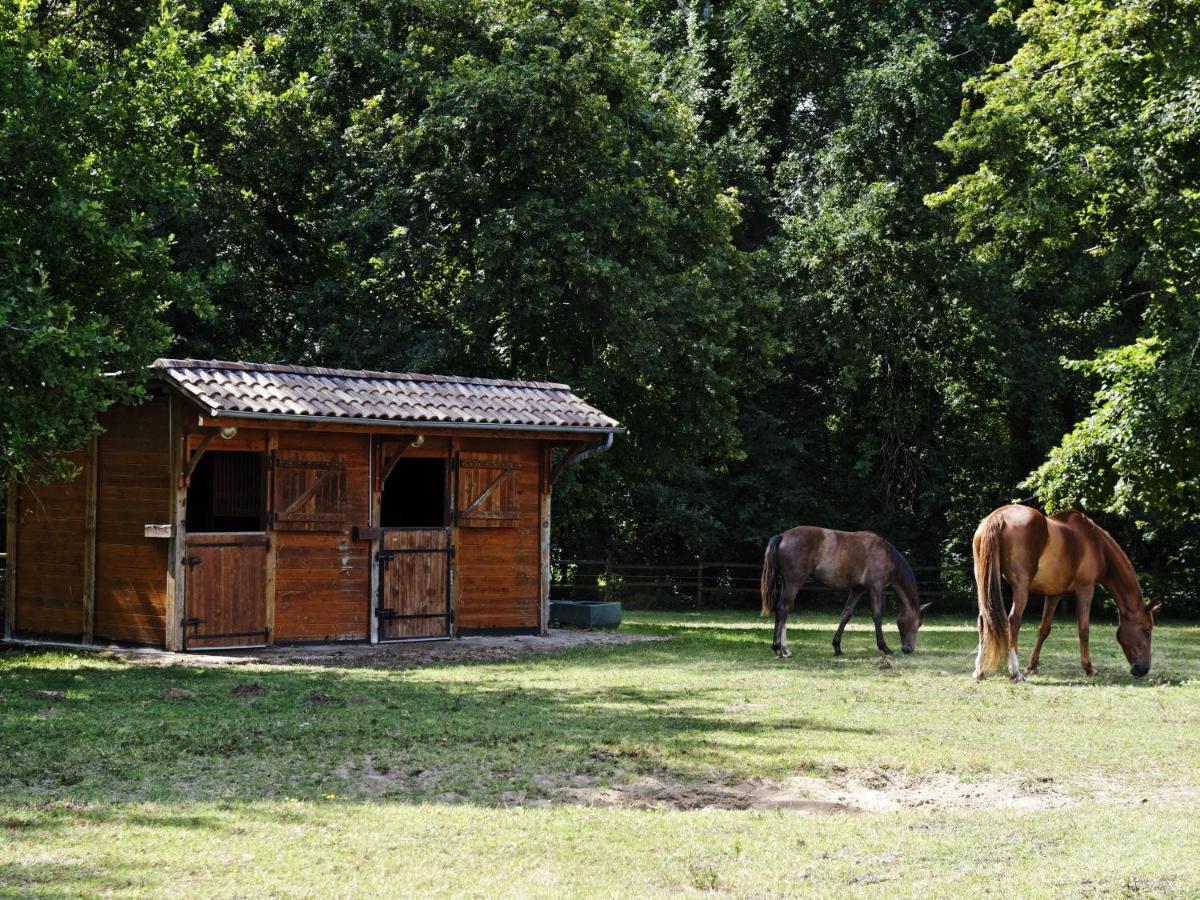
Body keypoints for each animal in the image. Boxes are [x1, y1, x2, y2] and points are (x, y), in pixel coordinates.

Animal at [758, 528, 926, 662]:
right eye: (918, 623)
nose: (909, 649)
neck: (885, 554)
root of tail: (782, 536)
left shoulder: (858, 590)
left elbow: (847, 614)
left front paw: (837, 647)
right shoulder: (876, 588)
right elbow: (877, 616)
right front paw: (885, 648)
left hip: (787, 583)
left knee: (785, 612)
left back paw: (786, 650)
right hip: (794, 583)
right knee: (782, 608)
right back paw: (777, 649)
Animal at [974, 508, 1161, 681]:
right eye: (1146, 631)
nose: (1143, 669)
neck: (1096, 544)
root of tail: (998, 516)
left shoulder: (1054, 594)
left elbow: (1044, 629)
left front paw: (1033, 666)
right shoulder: (1086, 589)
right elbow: (1084, 629)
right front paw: (1088, 667)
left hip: (983, 584)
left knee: (984, 620)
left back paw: (979, 671)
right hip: (1021, 587)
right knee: (1013, 620)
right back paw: (1015, 671)